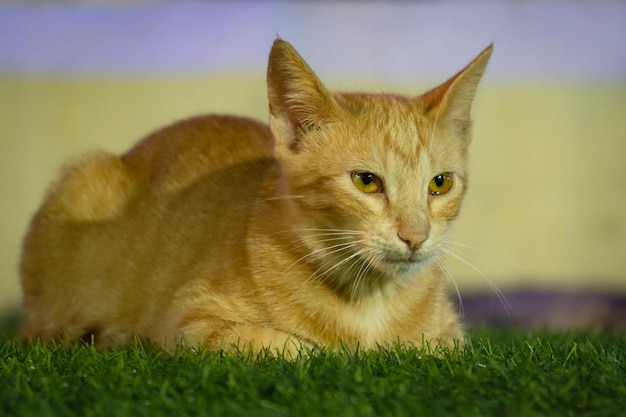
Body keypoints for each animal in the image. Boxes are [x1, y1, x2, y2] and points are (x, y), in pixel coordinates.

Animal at [19, 39, 492, 356]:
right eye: (366, 181)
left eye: (440, 183)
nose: (416, 236)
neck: (371, 300)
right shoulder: (191, 322)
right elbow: (297, 349)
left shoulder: (451, 338)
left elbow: (435, 348)